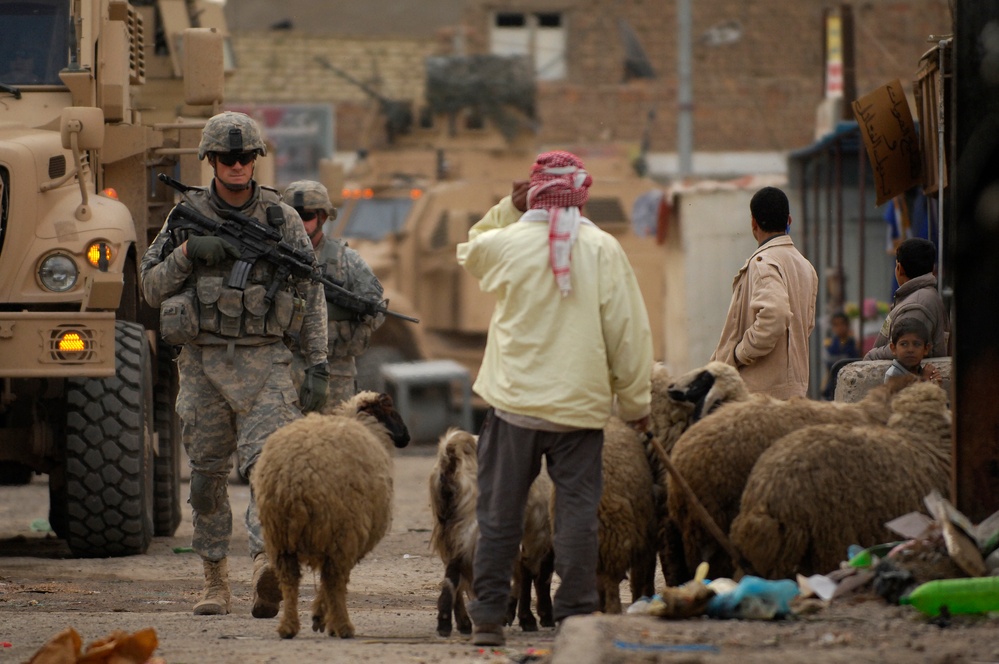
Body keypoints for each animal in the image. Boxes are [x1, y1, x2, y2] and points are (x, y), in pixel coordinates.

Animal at [258, 390, 414, 640]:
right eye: (390, 410)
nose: (406, 437)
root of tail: (295, 480)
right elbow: (331, 582)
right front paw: (322, 618)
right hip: (341, 529)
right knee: (334, 578)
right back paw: (342, 626)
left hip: (279, 536)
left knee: (290, 580)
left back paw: (288, 627)